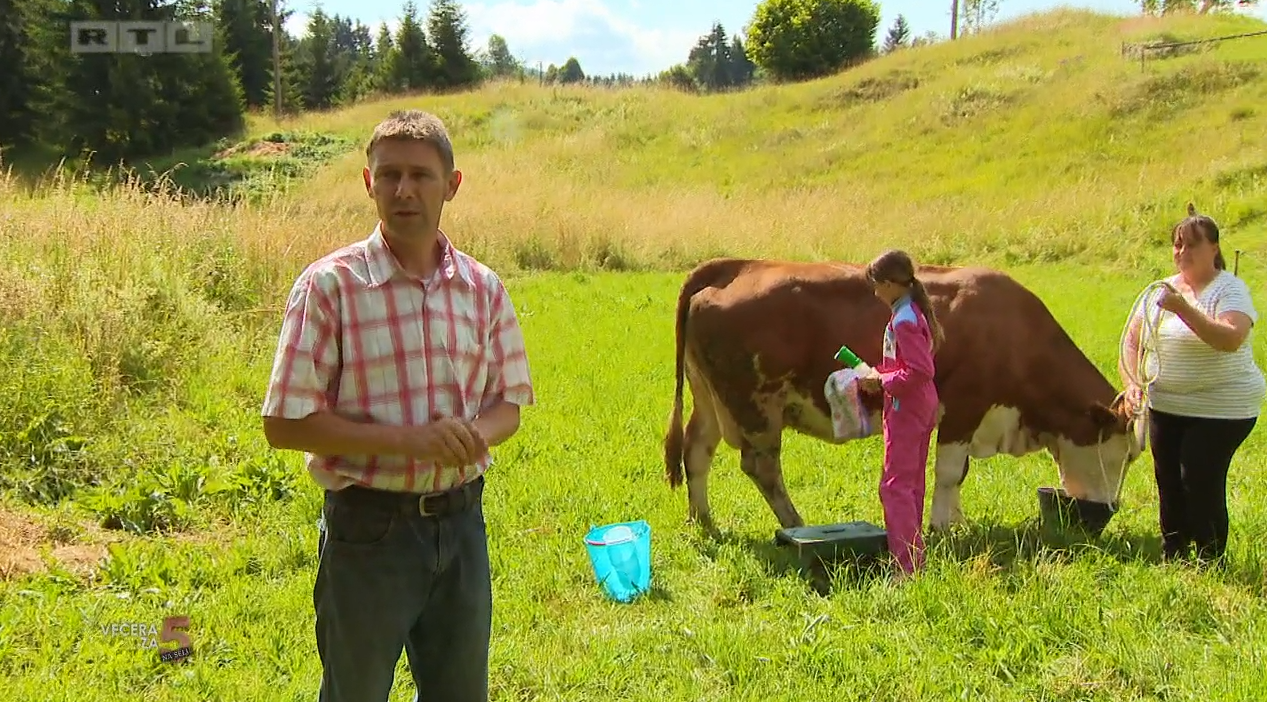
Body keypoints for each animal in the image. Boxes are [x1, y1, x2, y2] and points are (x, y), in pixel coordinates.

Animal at [663, 257, 1150, 534]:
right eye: (1124, 455)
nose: (1110, 508)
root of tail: (739, 265)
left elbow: (960, 474)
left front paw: (955, 521)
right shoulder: (965, 406)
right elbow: (950, 472)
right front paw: (941, 527)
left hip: (710, 399)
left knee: (696, 451)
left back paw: (703, 521)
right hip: (755, 405)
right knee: (761, 466)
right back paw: (795, 523)